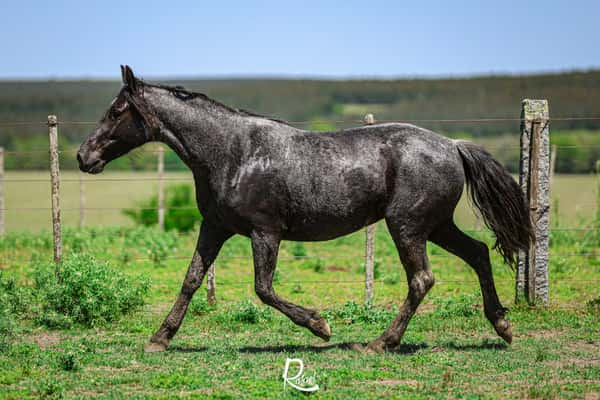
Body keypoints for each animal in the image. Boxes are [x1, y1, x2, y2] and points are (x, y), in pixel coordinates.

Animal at [77, 65, 532, 354]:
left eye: (116, 111)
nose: (84, 156)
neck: (232, 153)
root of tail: (453, 145)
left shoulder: (266, 232)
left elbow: (263, 288)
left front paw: (321, 326)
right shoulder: (215, 227)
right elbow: (191, 280)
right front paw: (159, 338)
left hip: (408, 226)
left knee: (422, 279)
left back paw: (379, 343)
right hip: (435, 225)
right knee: (478, 254)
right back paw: (504, 327)